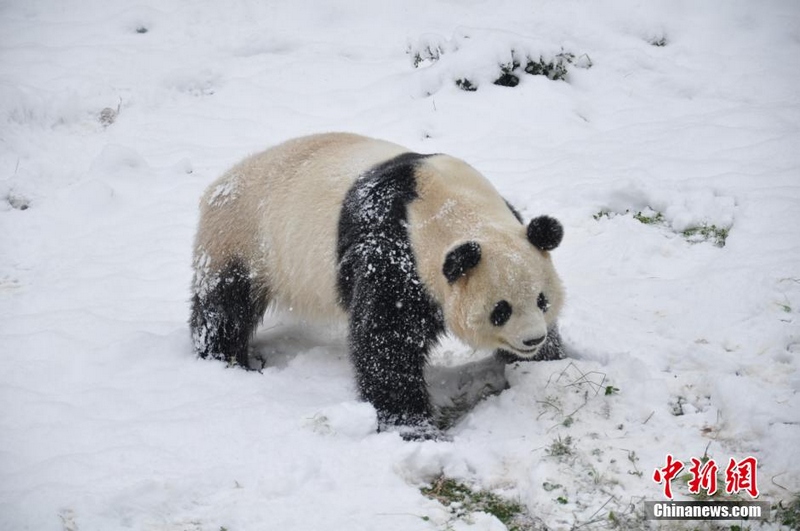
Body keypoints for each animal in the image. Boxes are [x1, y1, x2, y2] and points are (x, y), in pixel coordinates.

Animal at [191, 133, 564, 436]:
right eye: (501, 310)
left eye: (542, 301)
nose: (532, 339)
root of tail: (220, 182)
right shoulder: (391, 250)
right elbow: (386, 340)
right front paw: (414, 427)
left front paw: (547, 366)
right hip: (242, 236)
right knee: (223, 305)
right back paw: (226, 359)